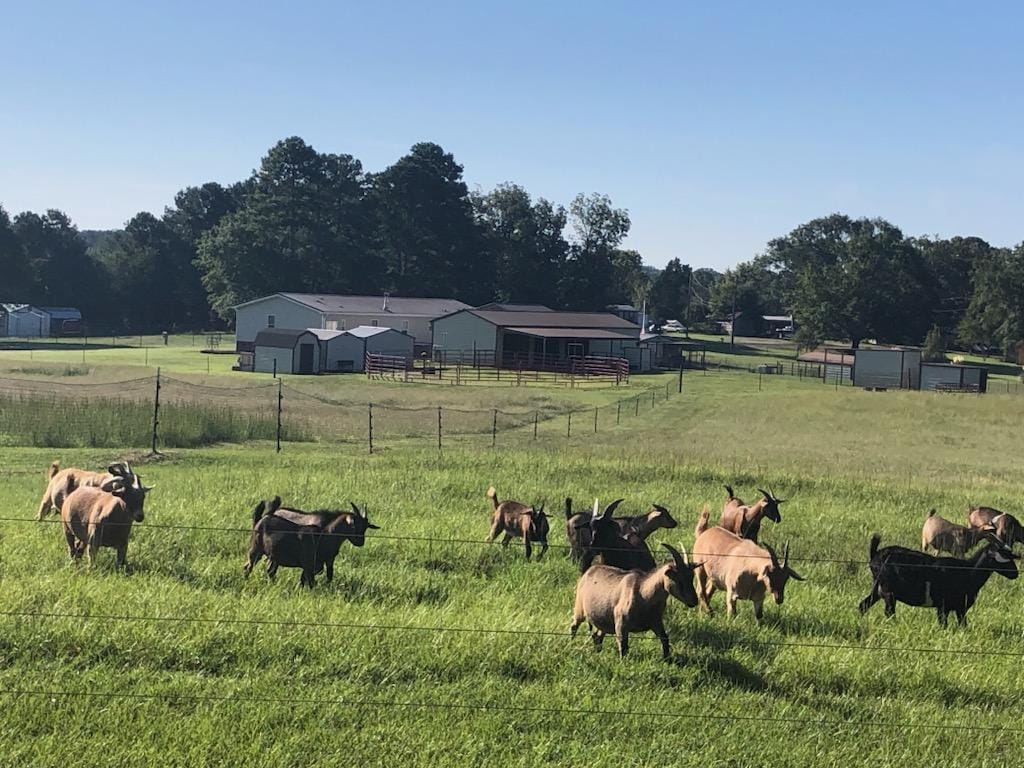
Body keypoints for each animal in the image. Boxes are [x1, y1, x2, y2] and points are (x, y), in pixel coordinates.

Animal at [244, 497, 379, 588]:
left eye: (366, 527)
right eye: (353, 525)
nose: (360, 542)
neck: (325, 535)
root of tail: (261, 518)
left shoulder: (325, 561)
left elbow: (325, 575)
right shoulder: (309, 563)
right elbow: (310, 580)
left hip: (274, 556)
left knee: (270, 571)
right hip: (255, 550)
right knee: (248, 567)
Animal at [570, 543, 702, 659]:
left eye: (691, 577)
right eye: (679, 579)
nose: (694, 601)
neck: (644, 593)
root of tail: (588, 571)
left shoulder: (656, 622)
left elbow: (665, 638)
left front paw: (666, 659)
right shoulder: (621, 622)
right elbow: (623, 645)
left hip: (604, 620)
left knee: (597, 635)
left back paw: (597, 651)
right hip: (580, 609)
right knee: (574, 625)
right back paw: (570, 643)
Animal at [859, 532, 1018, 627]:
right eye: (1004, 555)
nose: (1015, 573)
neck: (969, 571)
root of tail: (875, 555)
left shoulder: (960, 609)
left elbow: (963, 625)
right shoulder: (944, 606)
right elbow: (944, 625)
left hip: (877, 588)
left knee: (863, 605)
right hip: (888, 592)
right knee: (889, 612)